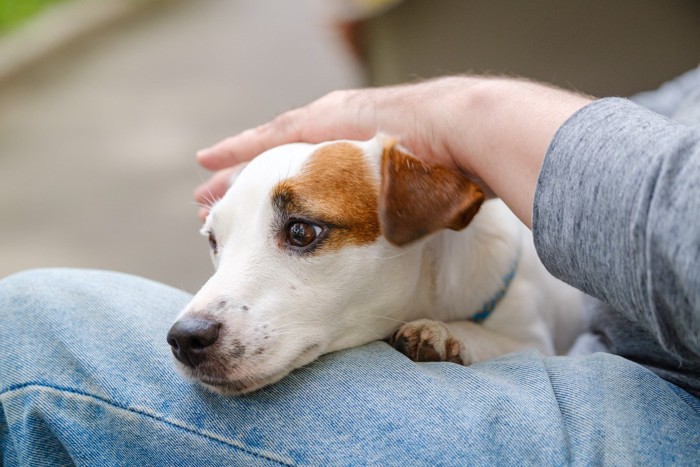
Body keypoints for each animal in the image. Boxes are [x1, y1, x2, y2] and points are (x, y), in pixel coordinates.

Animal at [170, 134, 584, 394]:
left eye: (302, 231)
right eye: (213, 241)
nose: (184, 338)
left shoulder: (533, 338)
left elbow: (497, 339)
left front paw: (446, 333)